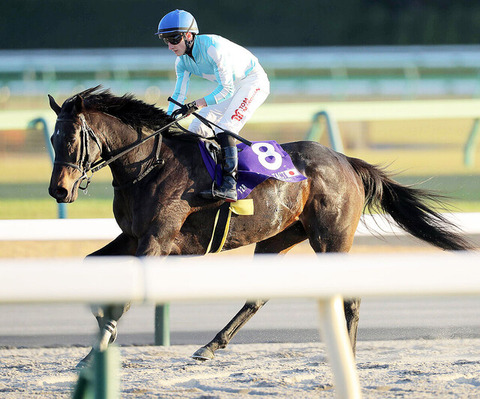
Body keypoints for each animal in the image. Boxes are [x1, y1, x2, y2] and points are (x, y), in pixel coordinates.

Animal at [49, 86, 472, 366]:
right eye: (52, 139)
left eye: (72, 139)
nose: (59, 189)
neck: (148, 166)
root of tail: (346, 161)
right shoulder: (133, 235)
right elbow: (91, 266)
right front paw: (97, 340)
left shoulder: (158, 239)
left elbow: (127, 292)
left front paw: (101, 343)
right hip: (279, 236)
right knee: (258, 295)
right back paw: (210, 345)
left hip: (331, 238)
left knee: (349, 296)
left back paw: (347, 356)